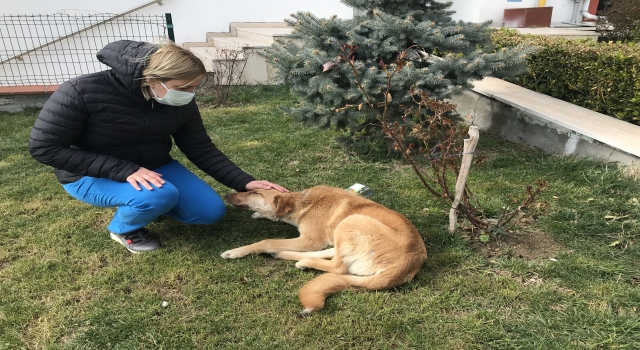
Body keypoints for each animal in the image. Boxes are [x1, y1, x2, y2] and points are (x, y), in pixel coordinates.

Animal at [222, 186, 428, 314]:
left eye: (255, 192)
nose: (226, 196)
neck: (302, 203)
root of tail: (411, 262)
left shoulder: (309, 240)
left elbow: (268, 241)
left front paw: (236, 251)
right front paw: (260, 215)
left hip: (349, 222)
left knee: (338, 267)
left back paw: (302, 261)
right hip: (342, 233)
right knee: (329, 254)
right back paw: (288, 256)